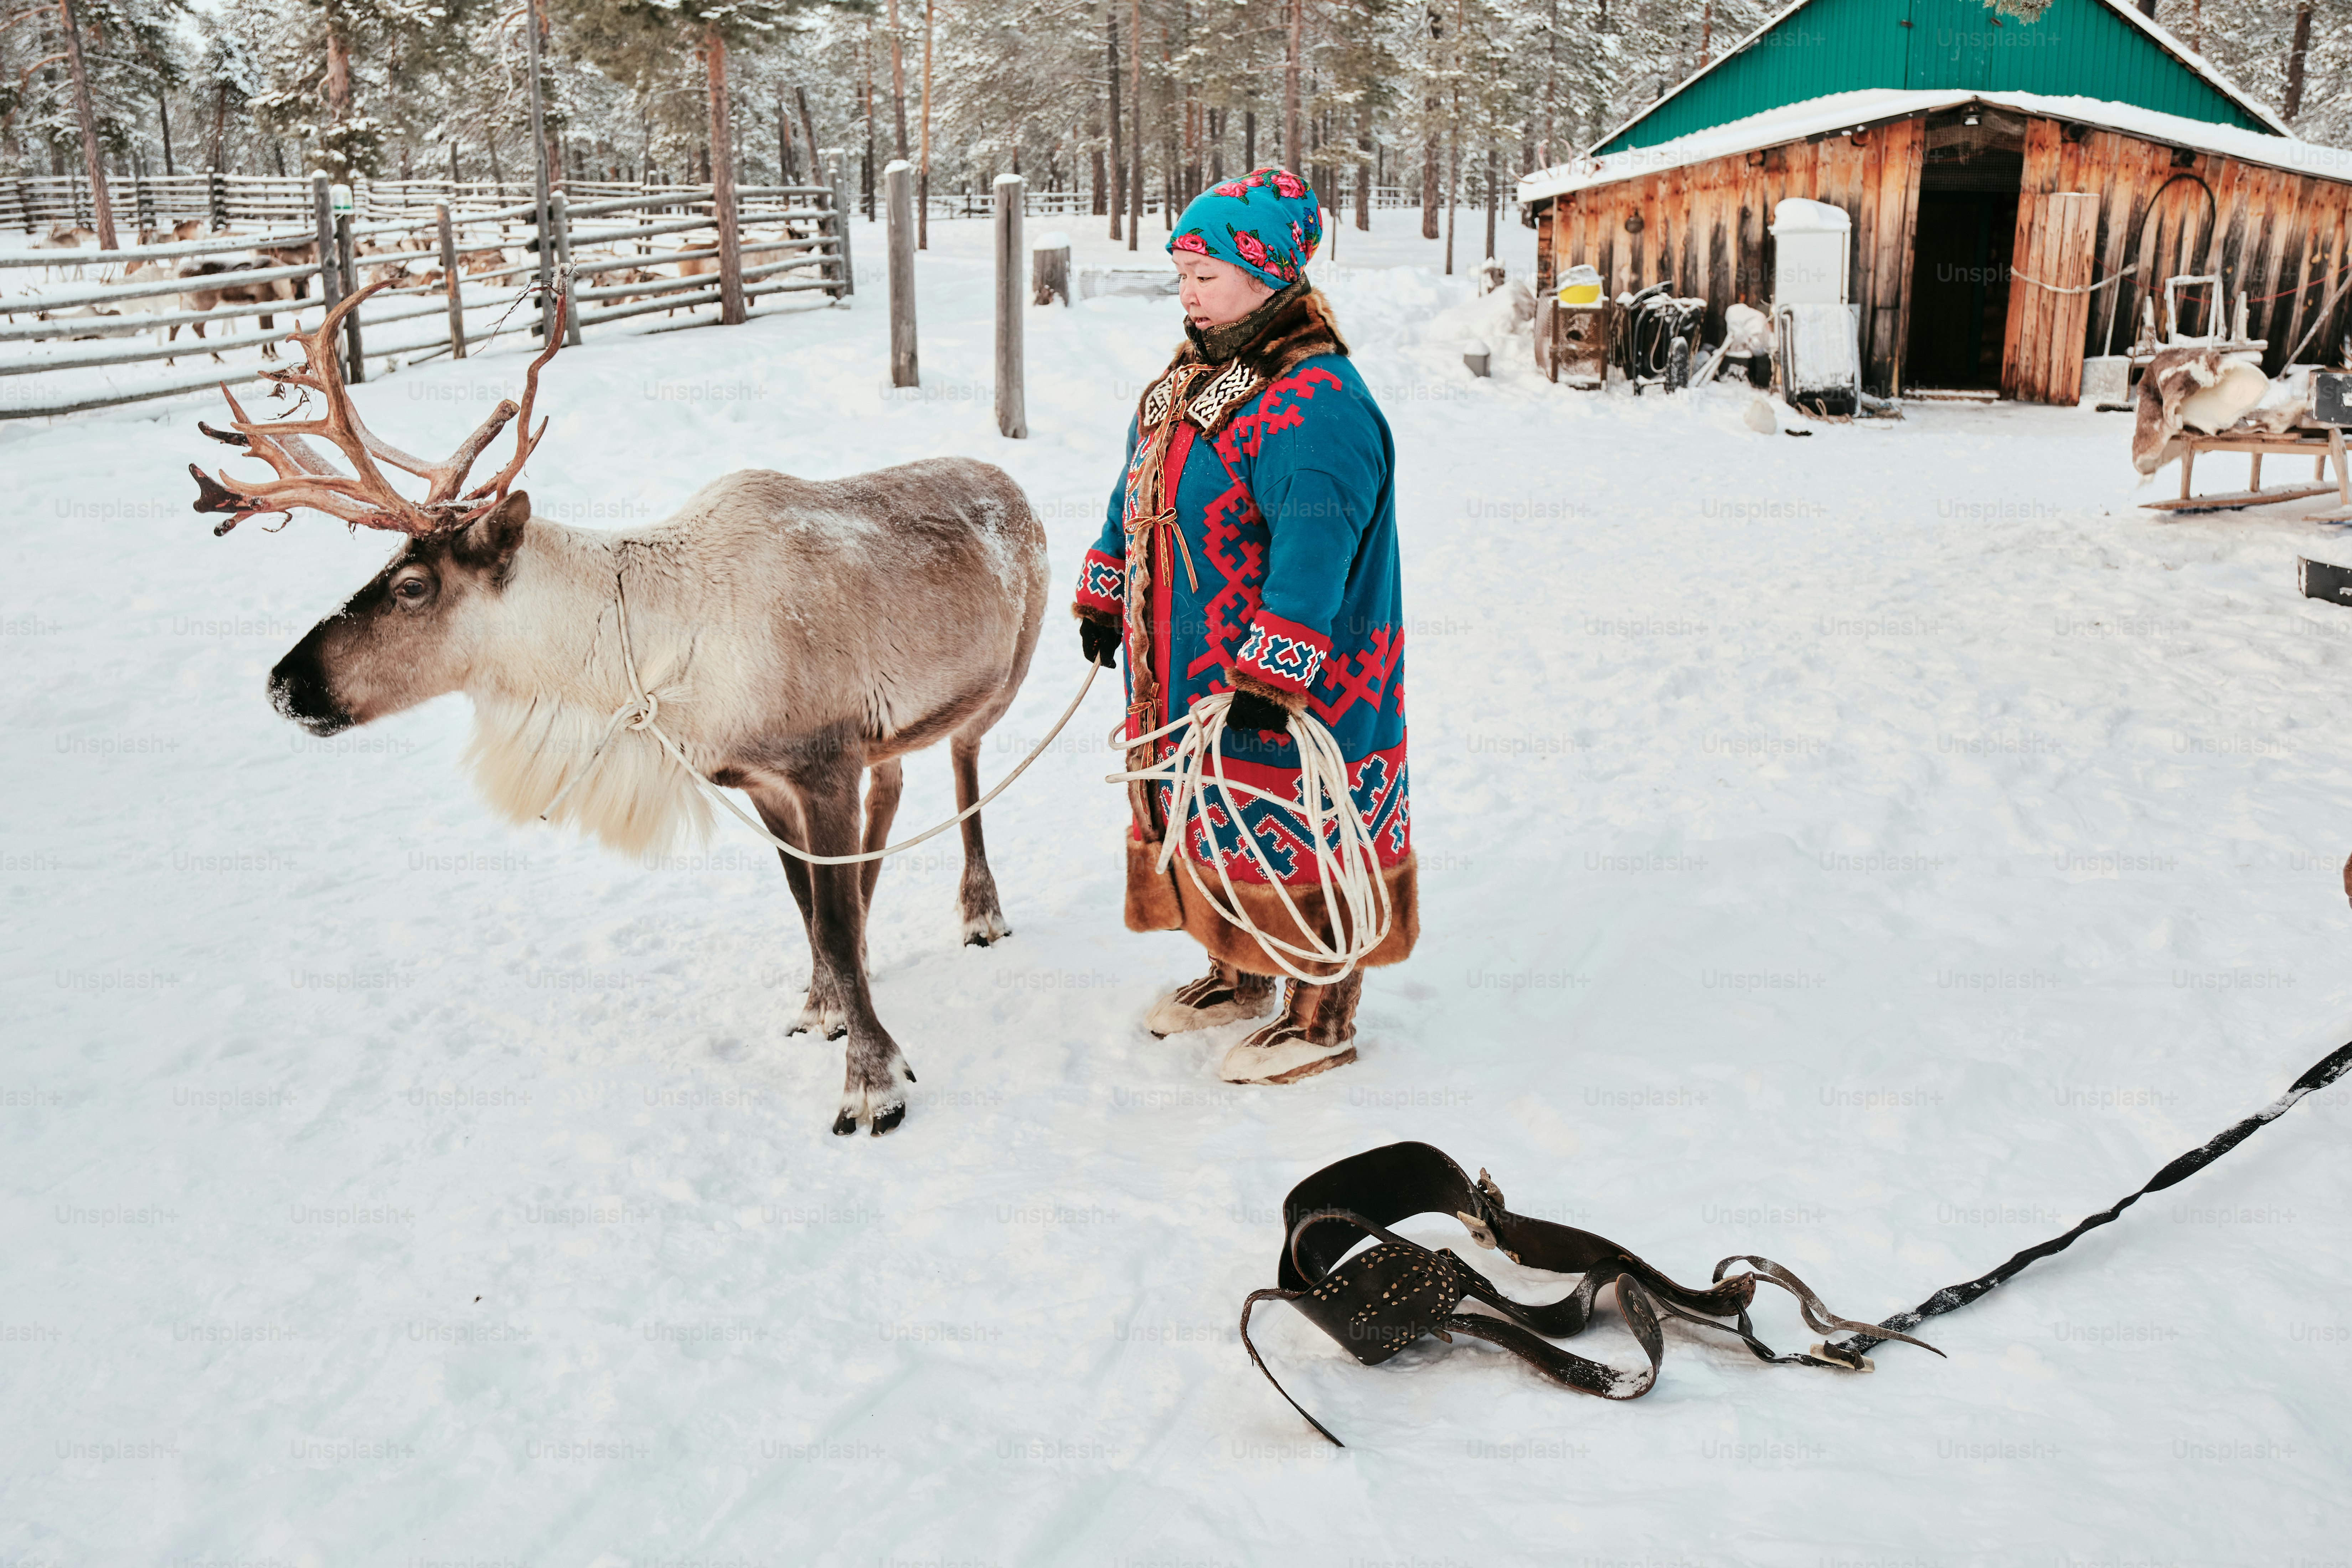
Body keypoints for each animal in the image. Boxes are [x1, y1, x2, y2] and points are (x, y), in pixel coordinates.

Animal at [184, 280, 1049, 1136]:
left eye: (412, 586)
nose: (285, 685)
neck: (652, 650)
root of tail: (1013, 483)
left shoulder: (822, 763)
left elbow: (829, 925)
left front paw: (873, 1084)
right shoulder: (763, 780)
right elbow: (808, 908)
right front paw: (824, 1006)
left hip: (1002, 679)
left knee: (967, 767)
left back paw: (980, 913)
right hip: (890, 734)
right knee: (894, 789)